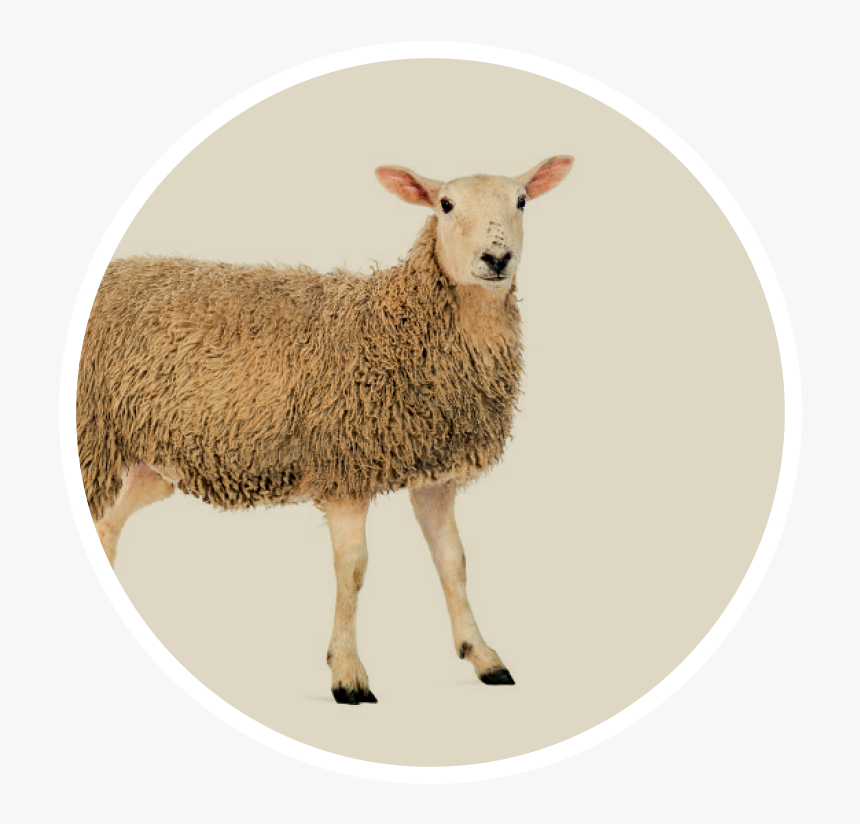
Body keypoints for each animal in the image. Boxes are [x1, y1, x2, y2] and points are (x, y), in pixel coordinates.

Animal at [77, 156, 574, 704]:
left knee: (107, 526)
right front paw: (348, 675)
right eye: (445, 204)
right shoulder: (344, 464)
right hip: (93, 436)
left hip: (148, 459)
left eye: (522, 200)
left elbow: (453, 561)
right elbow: (352, 569)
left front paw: (483, 656)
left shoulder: (435, 472)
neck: (401, 327)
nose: (496, 258)